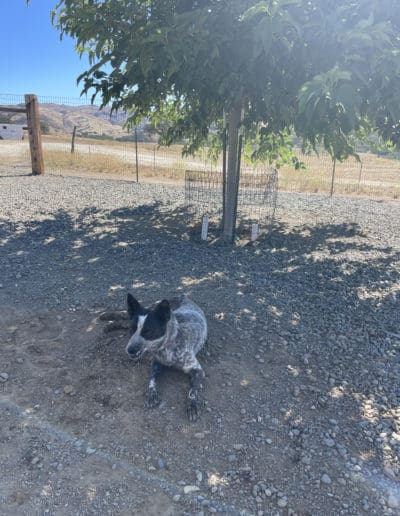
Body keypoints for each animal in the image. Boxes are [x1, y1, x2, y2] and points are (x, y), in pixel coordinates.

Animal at [126, 292, 208, 422]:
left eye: (147, 331)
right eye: (132, 328)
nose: (130, 350)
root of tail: (183, 295)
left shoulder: (197, 369)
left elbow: (193, 390)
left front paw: (192, 404)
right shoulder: (156, 363)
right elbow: (151, 379)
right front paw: (151, 394)